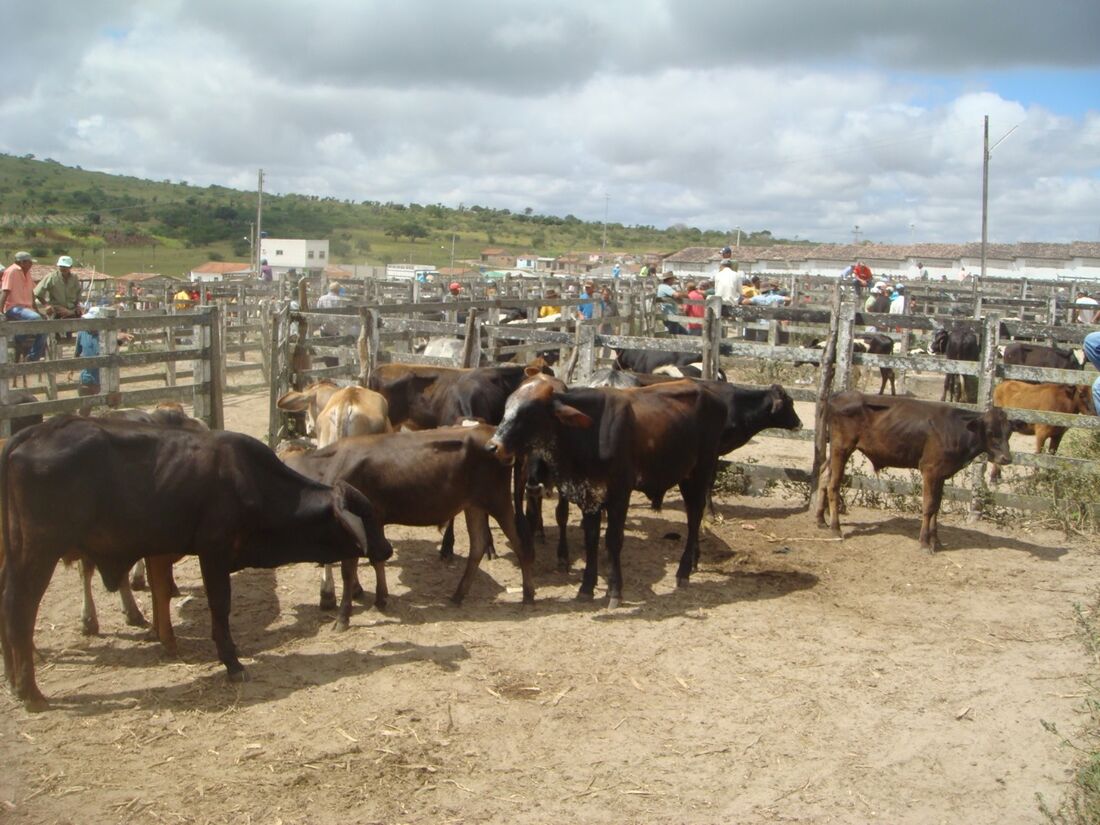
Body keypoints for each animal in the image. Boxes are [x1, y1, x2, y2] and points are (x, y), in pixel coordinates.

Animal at [0, 415, 391, 712]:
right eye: (367, 517)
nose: (386, 548)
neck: (251, 482)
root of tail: (34, 432)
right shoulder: (214, 554)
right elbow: (219, 607)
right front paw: (232, 662)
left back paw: (14, 681)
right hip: (38, 551)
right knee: (20, 609)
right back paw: (31, 692)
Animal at [281, 426, 534, 624]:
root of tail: (492, 435)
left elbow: (349, 570)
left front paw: (343, 617)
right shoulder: (374, 522)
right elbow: (377, 560)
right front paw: (381, 599)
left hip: (498, 500)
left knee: (521, 544)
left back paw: (528, 596)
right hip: (473, 505)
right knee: (478, 545)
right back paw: (458, 595)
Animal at [484, 380, 726, 607]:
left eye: (530, 412)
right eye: (506, 409)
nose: (492, 447)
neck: (590, 434)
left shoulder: (620, 494)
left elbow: (613, 540)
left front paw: (615, 590)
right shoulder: (589, 494)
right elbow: (591, 539)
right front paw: (586, 588)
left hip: (701, 471)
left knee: (694, 517)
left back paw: (684, 571)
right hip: (686, 476)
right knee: (693, 514)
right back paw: (693, 562)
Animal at [818, 391, 1012, 552]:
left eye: (1009, 432)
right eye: (990, 432)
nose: (1006, 458)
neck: (954, 429)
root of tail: (838, 395)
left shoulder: (941, 474)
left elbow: (936, 506)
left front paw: (936, 541)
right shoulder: (930, 470)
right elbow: (928, 506)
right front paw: (925, 543)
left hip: (837, 450)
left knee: (823, 474)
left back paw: (820, 520)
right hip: (841, 447)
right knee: (833, 484)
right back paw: (835, 528)